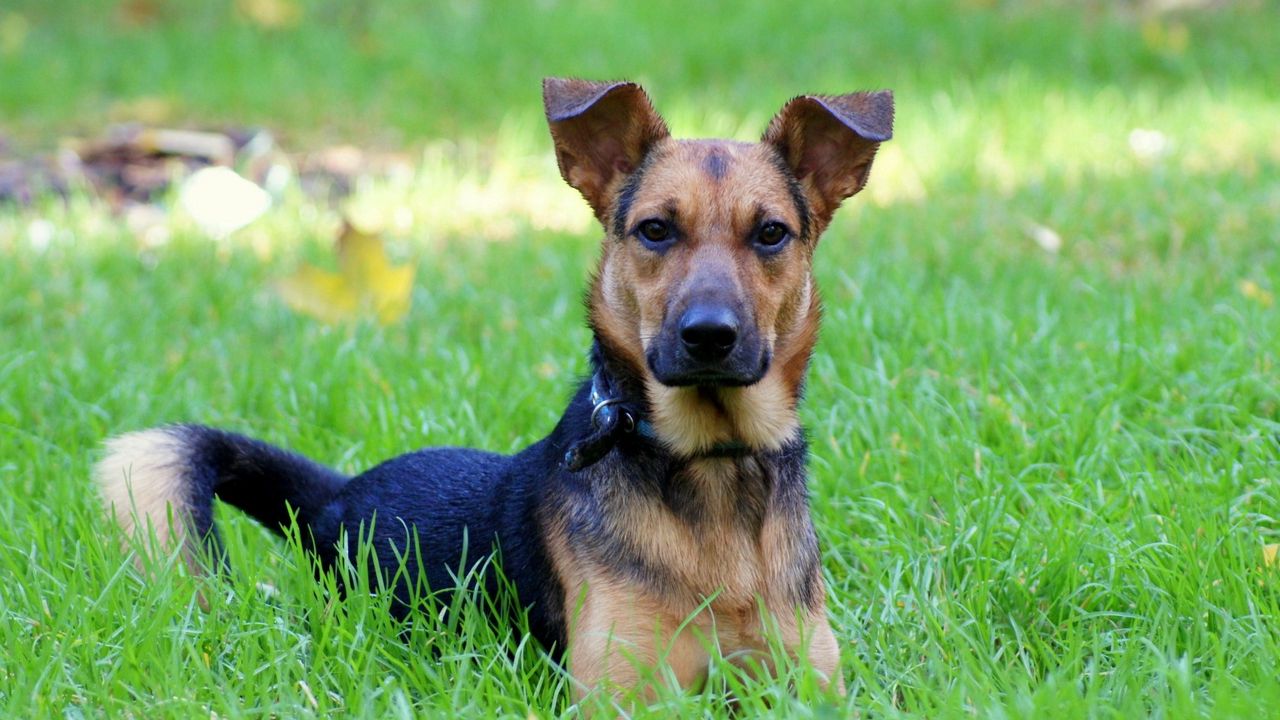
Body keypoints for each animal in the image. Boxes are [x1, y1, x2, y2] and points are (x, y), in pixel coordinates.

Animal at [94, 78, 896, 702]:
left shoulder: (813, 685)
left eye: (771, 233)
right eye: (655, 230)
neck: (709, 462)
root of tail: (335, 497)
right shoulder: (621, 693)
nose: (709, 336)